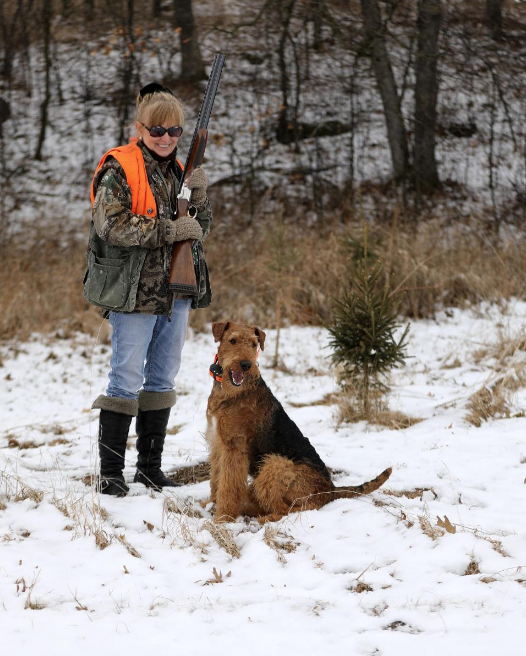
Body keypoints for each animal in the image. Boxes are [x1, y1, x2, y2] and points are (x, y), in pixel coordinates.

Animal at [205, 320, 392, 524]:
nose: (246, 365)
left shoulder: (235, 447)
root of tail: (330, 490)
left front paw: (222, 518)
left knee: (289, 509)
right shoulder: (218, 442)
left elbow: (228, 486)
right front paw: (210, 504)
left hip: (275, 465)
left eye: (254, 344)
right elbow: (216, 478)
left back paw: (264, 517)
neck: (230, 392)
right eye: (232, 340)